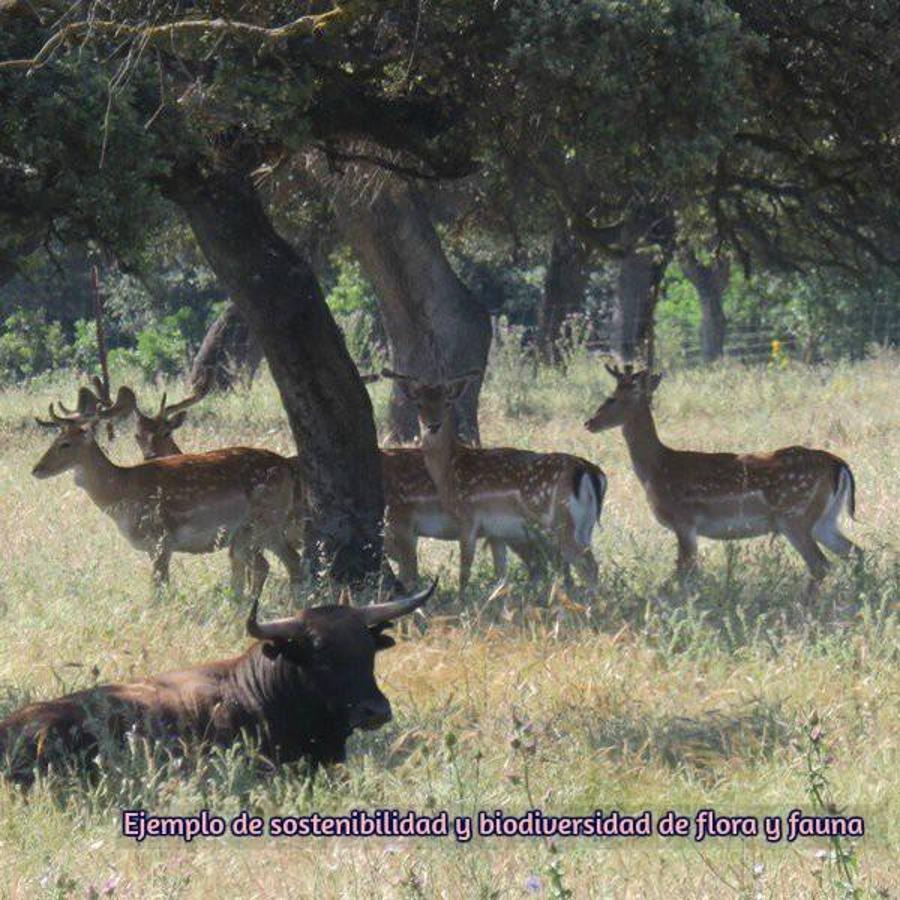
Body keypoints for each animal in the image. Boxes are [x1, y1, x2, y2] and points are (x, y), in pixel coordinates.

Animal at [34, 390, 302, 600]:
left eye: (65, 444)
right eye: (54, 440)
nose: (36, 469)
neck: (122, 491)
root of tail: (286, 466)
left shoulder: (160, 539)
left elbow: (159, 589)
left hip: (260, 523)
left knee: (274, 563)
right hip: (264, 529)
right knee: (288, 561)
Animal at [380, 366, 604, 604]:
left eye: (447, 402)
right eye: (419, 403)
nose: (433, 425)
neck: (449, 471)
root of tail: (590, 472)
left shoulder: (465, 518)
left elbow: (462, 570)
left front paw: (461, 602)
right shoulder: (495, 532)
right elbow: (500, 577)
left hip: (558, 523)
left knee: (583, 564)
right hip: (583, 526)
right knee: (567, 564)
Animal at [584, 362, 856, 596]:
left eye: (614, 397)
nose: (589, 422)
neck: (657, 468)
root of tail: (838, 465)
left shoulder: (684, 520)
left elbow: (684, 572)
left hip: (795, 515)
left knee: (821, 564)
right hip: (824, 519)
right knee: (853, 551)